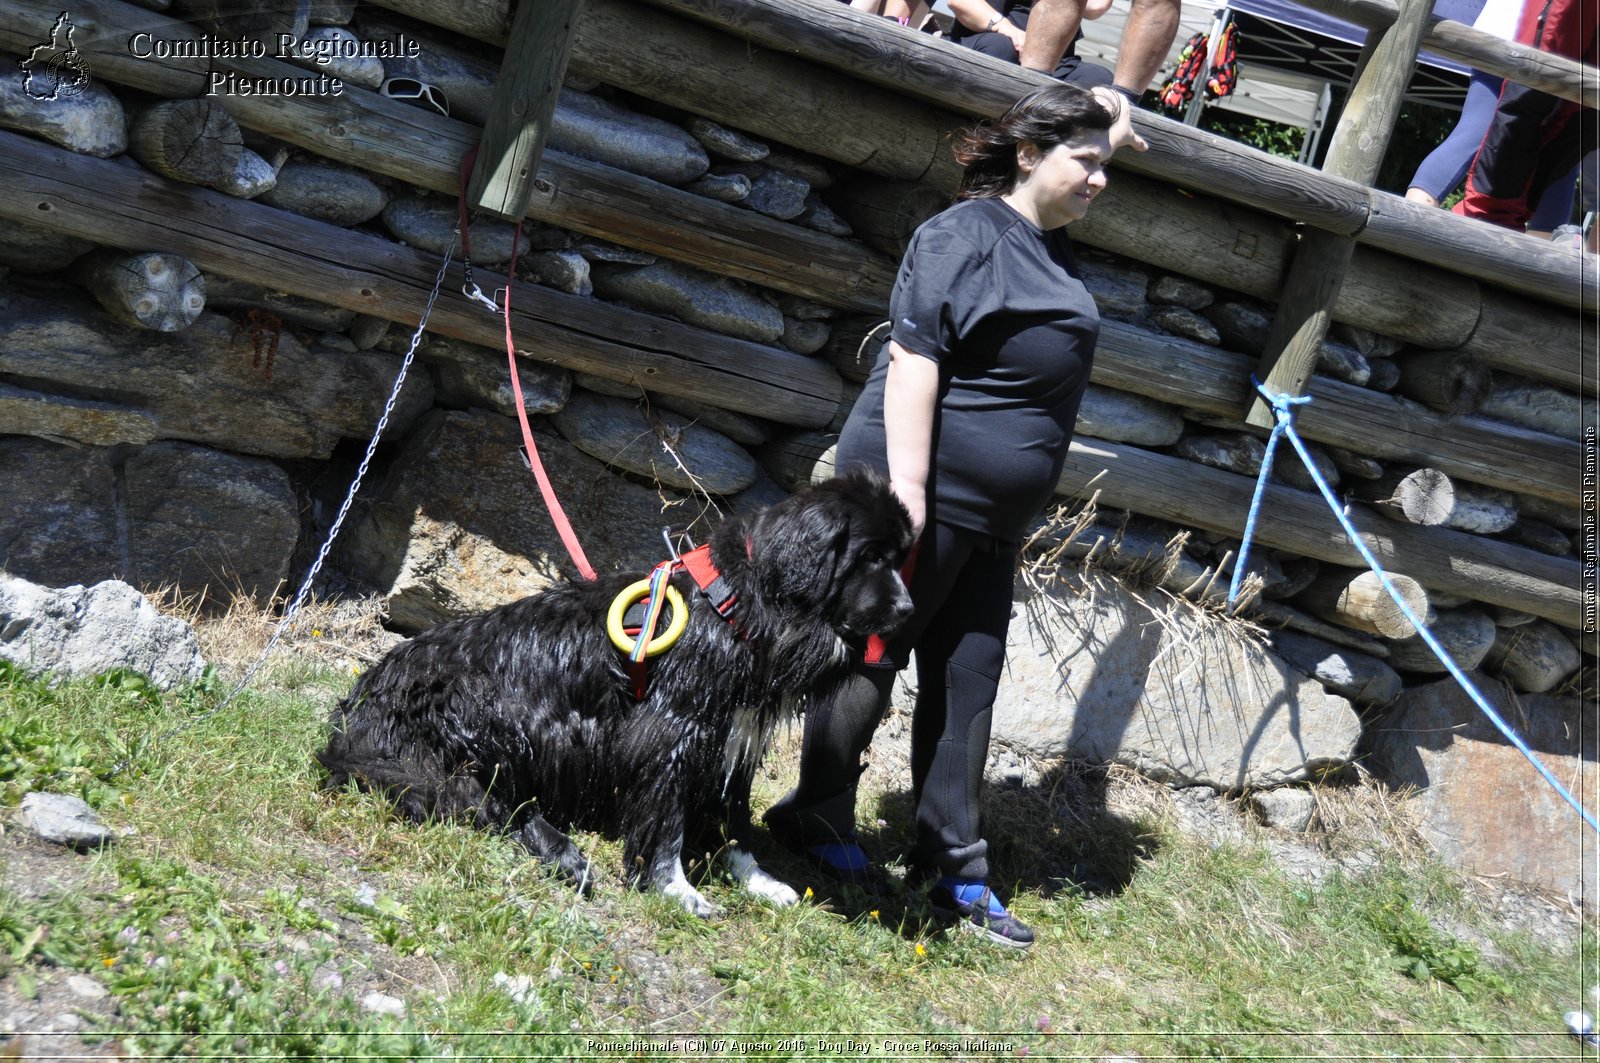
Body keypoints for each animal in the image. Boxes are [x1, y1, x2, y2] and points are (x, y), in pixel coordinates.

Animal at [321, 470, 915, 915]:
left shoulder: (735, 735)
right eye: (871, 556)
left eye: (899, 557)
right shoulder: (670, 731)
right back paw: (563, 853)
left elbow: (733, 818)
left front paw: (757, 879)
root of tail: (362, 707)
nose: (909, 610)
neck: (737, 606)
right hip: (488, 706)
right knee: (484, 798)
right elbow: (667, 819)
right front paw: (676, 889)